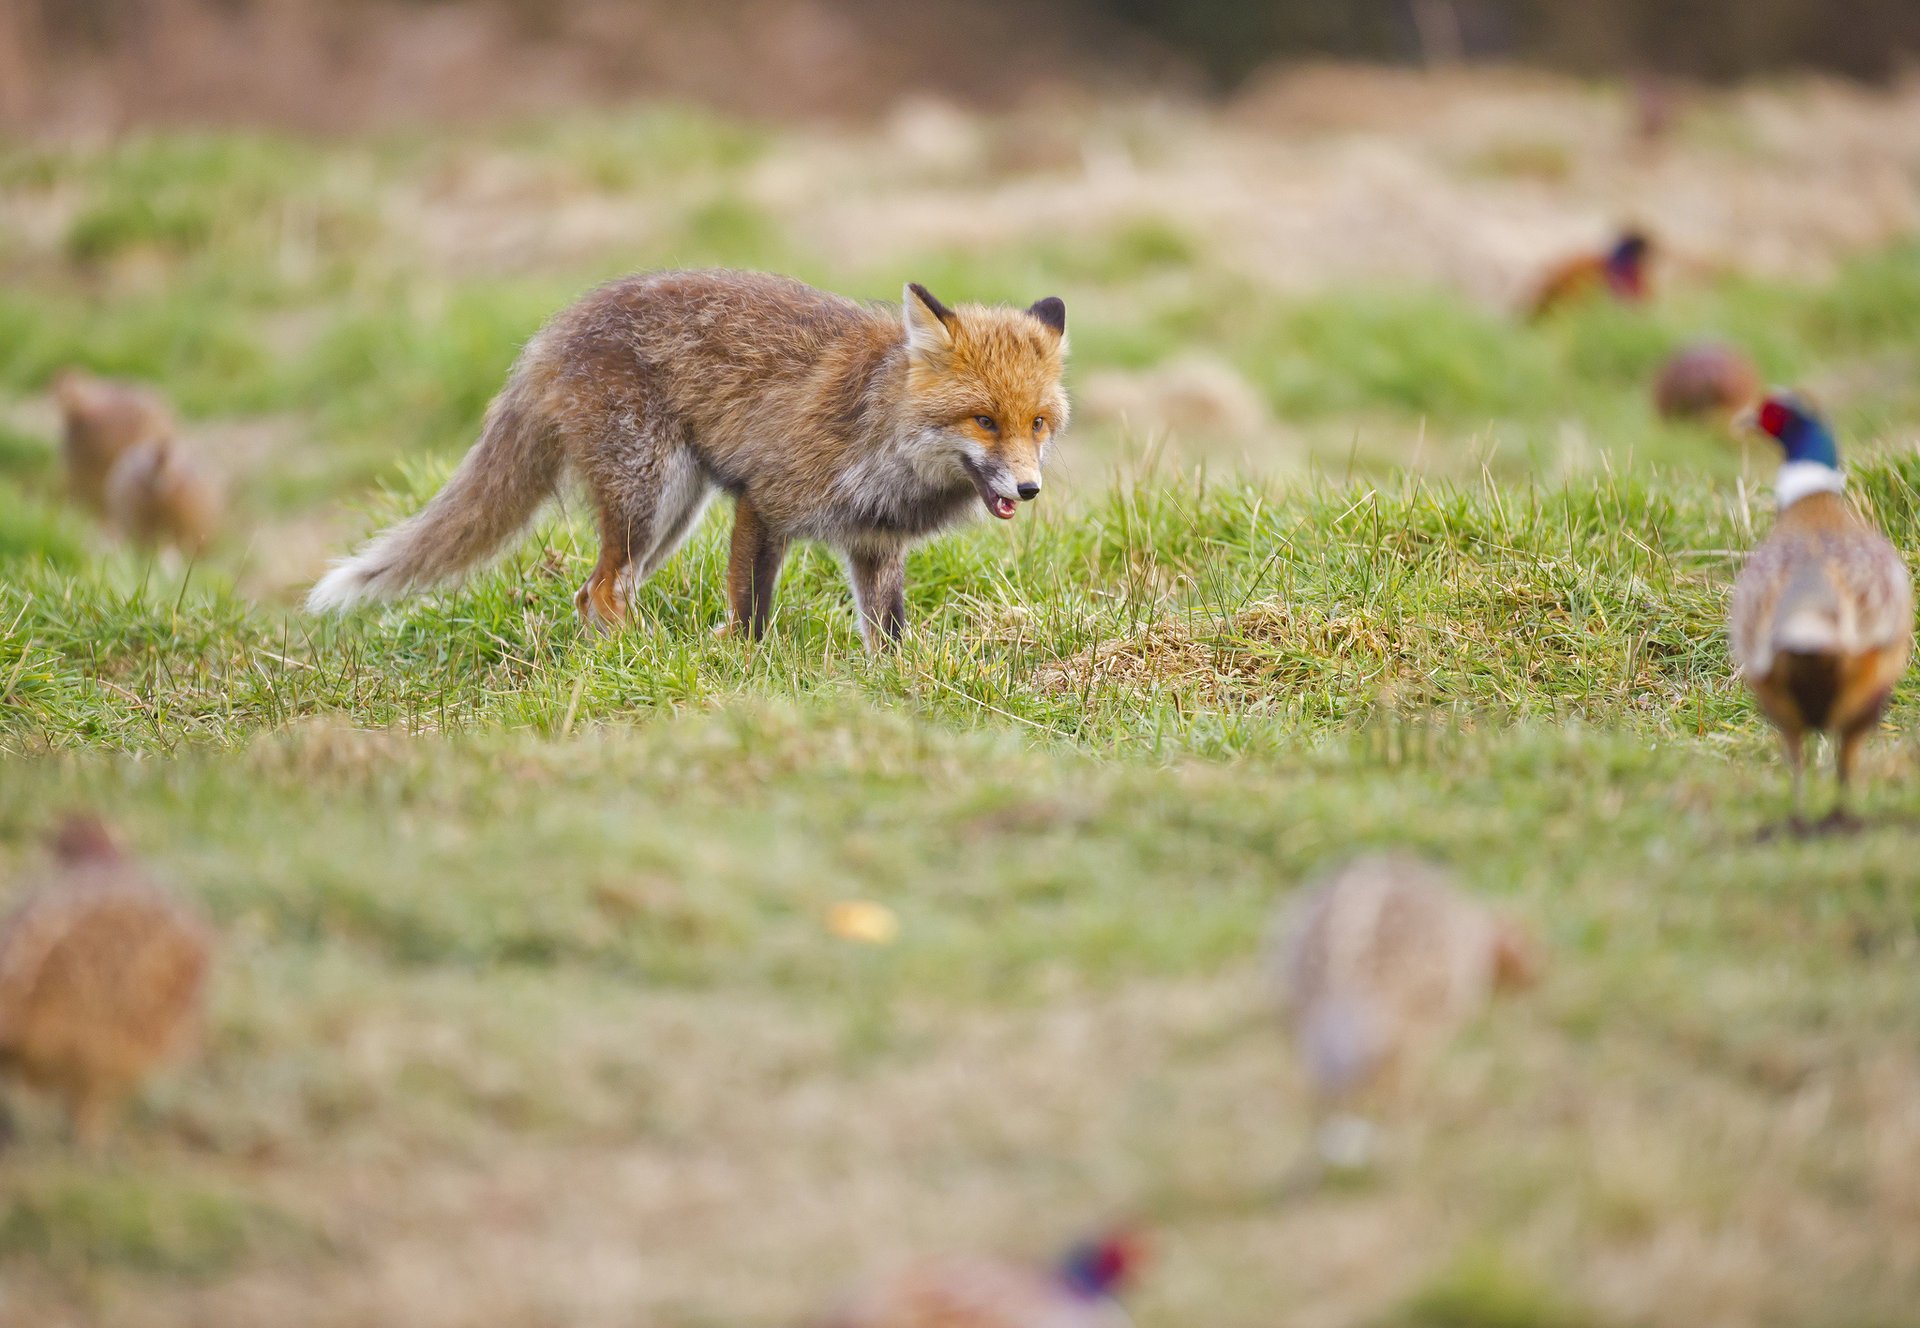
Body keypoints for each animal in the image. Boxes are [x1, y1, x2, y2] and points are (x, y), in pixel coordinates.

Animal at [306, 270, 1070, 647]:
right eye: (983, 420)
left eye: (1037, 424)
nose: (1031, 489)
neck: (878, 435)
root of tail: (551, 333)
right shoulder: (764, 502)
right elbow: (751, 614)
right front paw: (745, 670)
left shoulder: (874, 543)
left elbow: (888, 634)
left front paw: (894, 687)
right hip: (651, 496)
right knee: (603, 590)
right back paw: (656, 657)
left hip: (672, 516)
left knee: (592, 593)